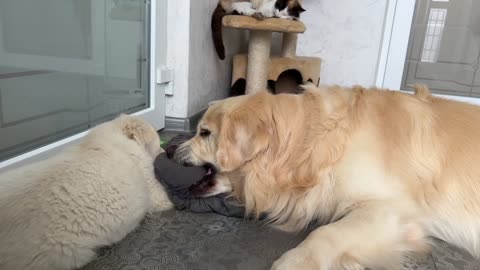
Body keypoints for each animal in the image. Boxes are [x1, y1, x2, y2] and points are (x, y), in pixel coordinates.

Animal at [174, 84, 480, 268]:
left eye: (204, 133)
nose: (173, 151)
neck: (309, 142)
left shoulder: (392, 209)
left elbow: (325, 233)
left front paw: (292, 263)